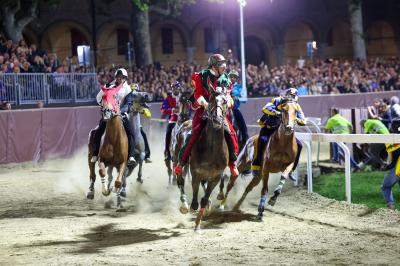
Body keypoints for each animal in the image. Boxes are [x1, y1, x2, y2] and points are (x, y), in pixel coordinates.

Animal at [177, 84, 230, 231]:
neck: (211, 150)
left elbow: (205, 199)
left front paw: (198, 224)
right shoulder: (196, 172)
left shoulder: (216, 175)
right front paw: (194, 208)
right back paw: (184, 205)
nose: (217, 119)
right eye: (211, 100)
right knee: (180, 180)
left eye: (225, 101)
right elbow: (195, 199)